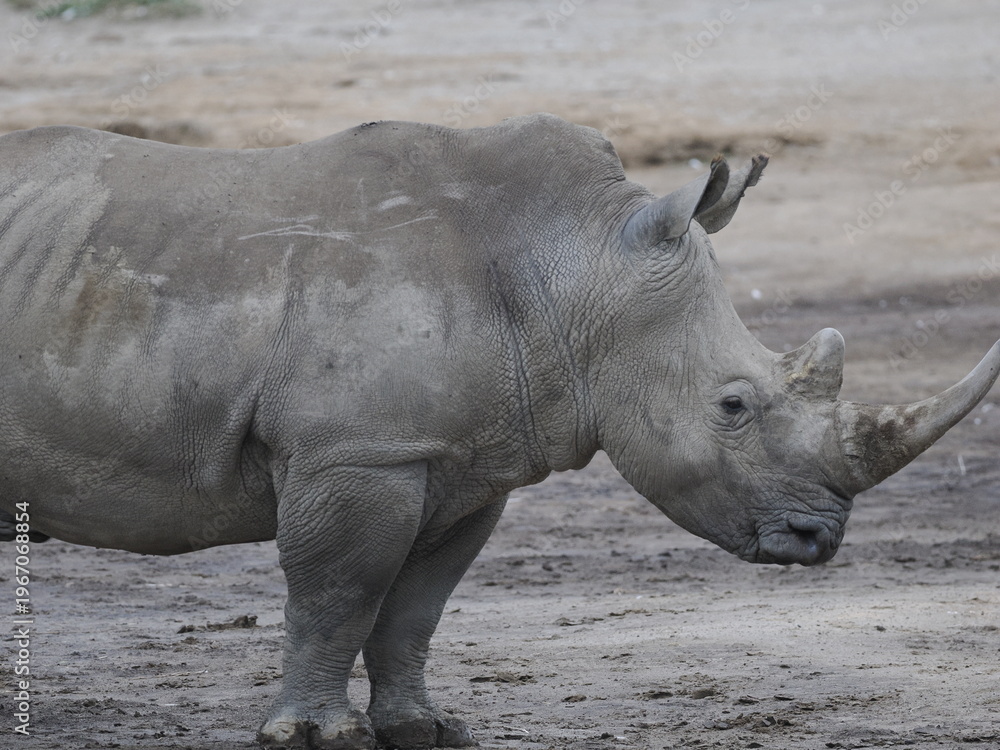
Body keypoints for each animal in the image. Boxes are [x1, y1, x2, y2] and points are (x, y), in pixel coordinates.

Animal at [0, 114, 996, 749]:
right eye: (733, 407)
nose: (816, 540)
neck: (575, 264)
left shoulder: (463, 463)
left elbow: (414, 603)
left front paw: (423, 730)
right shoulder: (360, 452)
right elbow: (337, 594)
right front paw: (318, 737)